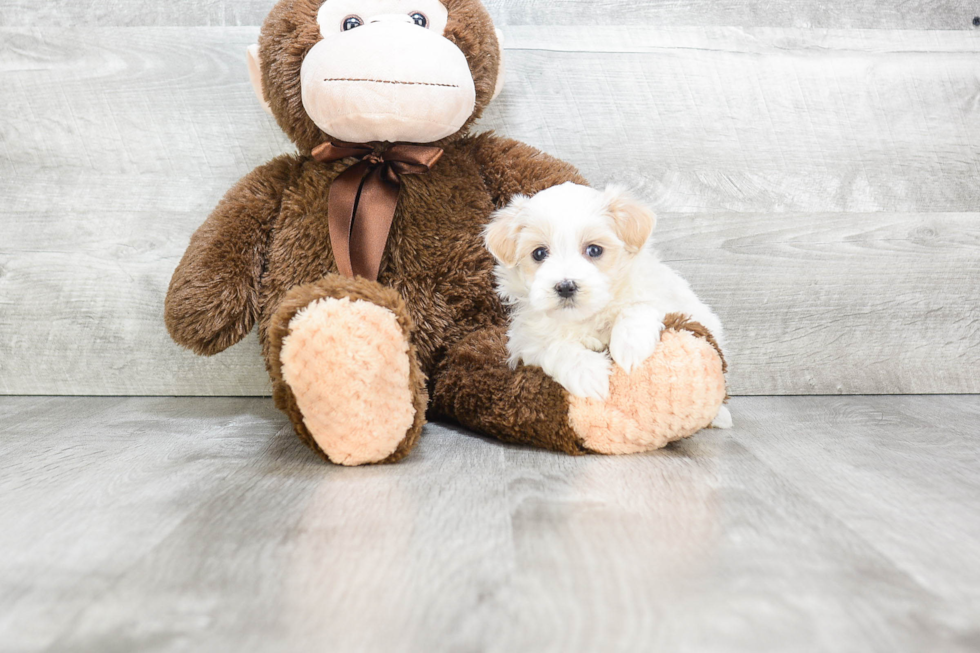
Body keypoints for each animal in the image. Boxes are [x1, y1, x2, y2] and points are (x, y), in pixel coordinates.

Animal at [482, 183, 728, 428]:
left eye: (594, 250)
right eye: (539, 253)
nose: (566, 286)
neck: (586, 317)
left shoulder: (663, 295)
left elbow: (638, 306)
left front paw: (631, 347)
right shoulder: (526, 340)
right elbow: (554, 346)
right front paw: (589, 374)